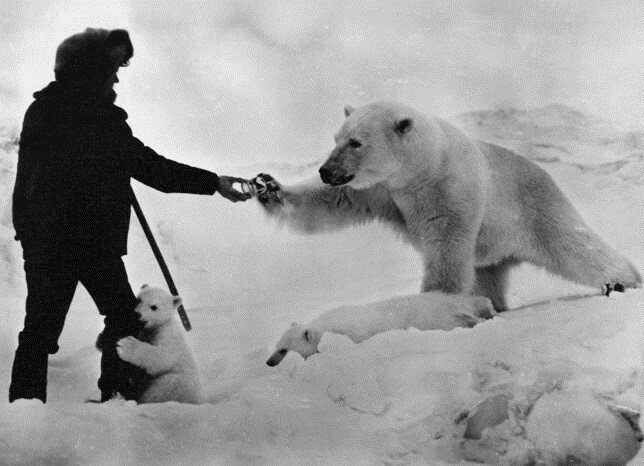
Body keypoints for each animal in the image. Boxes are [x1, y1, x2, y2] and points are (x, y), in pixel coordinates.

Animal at [254, 103, 640, 314]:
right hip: (493, 247)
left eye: (356, 142)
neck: (419, 170)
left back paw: (623, 282)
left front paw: (432, 305)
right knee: (487, 275)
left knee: (575, 247)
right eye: (336, 138)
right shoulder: (381, 191)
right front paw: (268, 187)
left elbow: (446, 247)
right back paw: (495, 305)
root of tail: (544, 172)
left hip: (534, 209)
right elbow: (332, 202)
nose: (326, 170)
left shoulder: (450, 190)